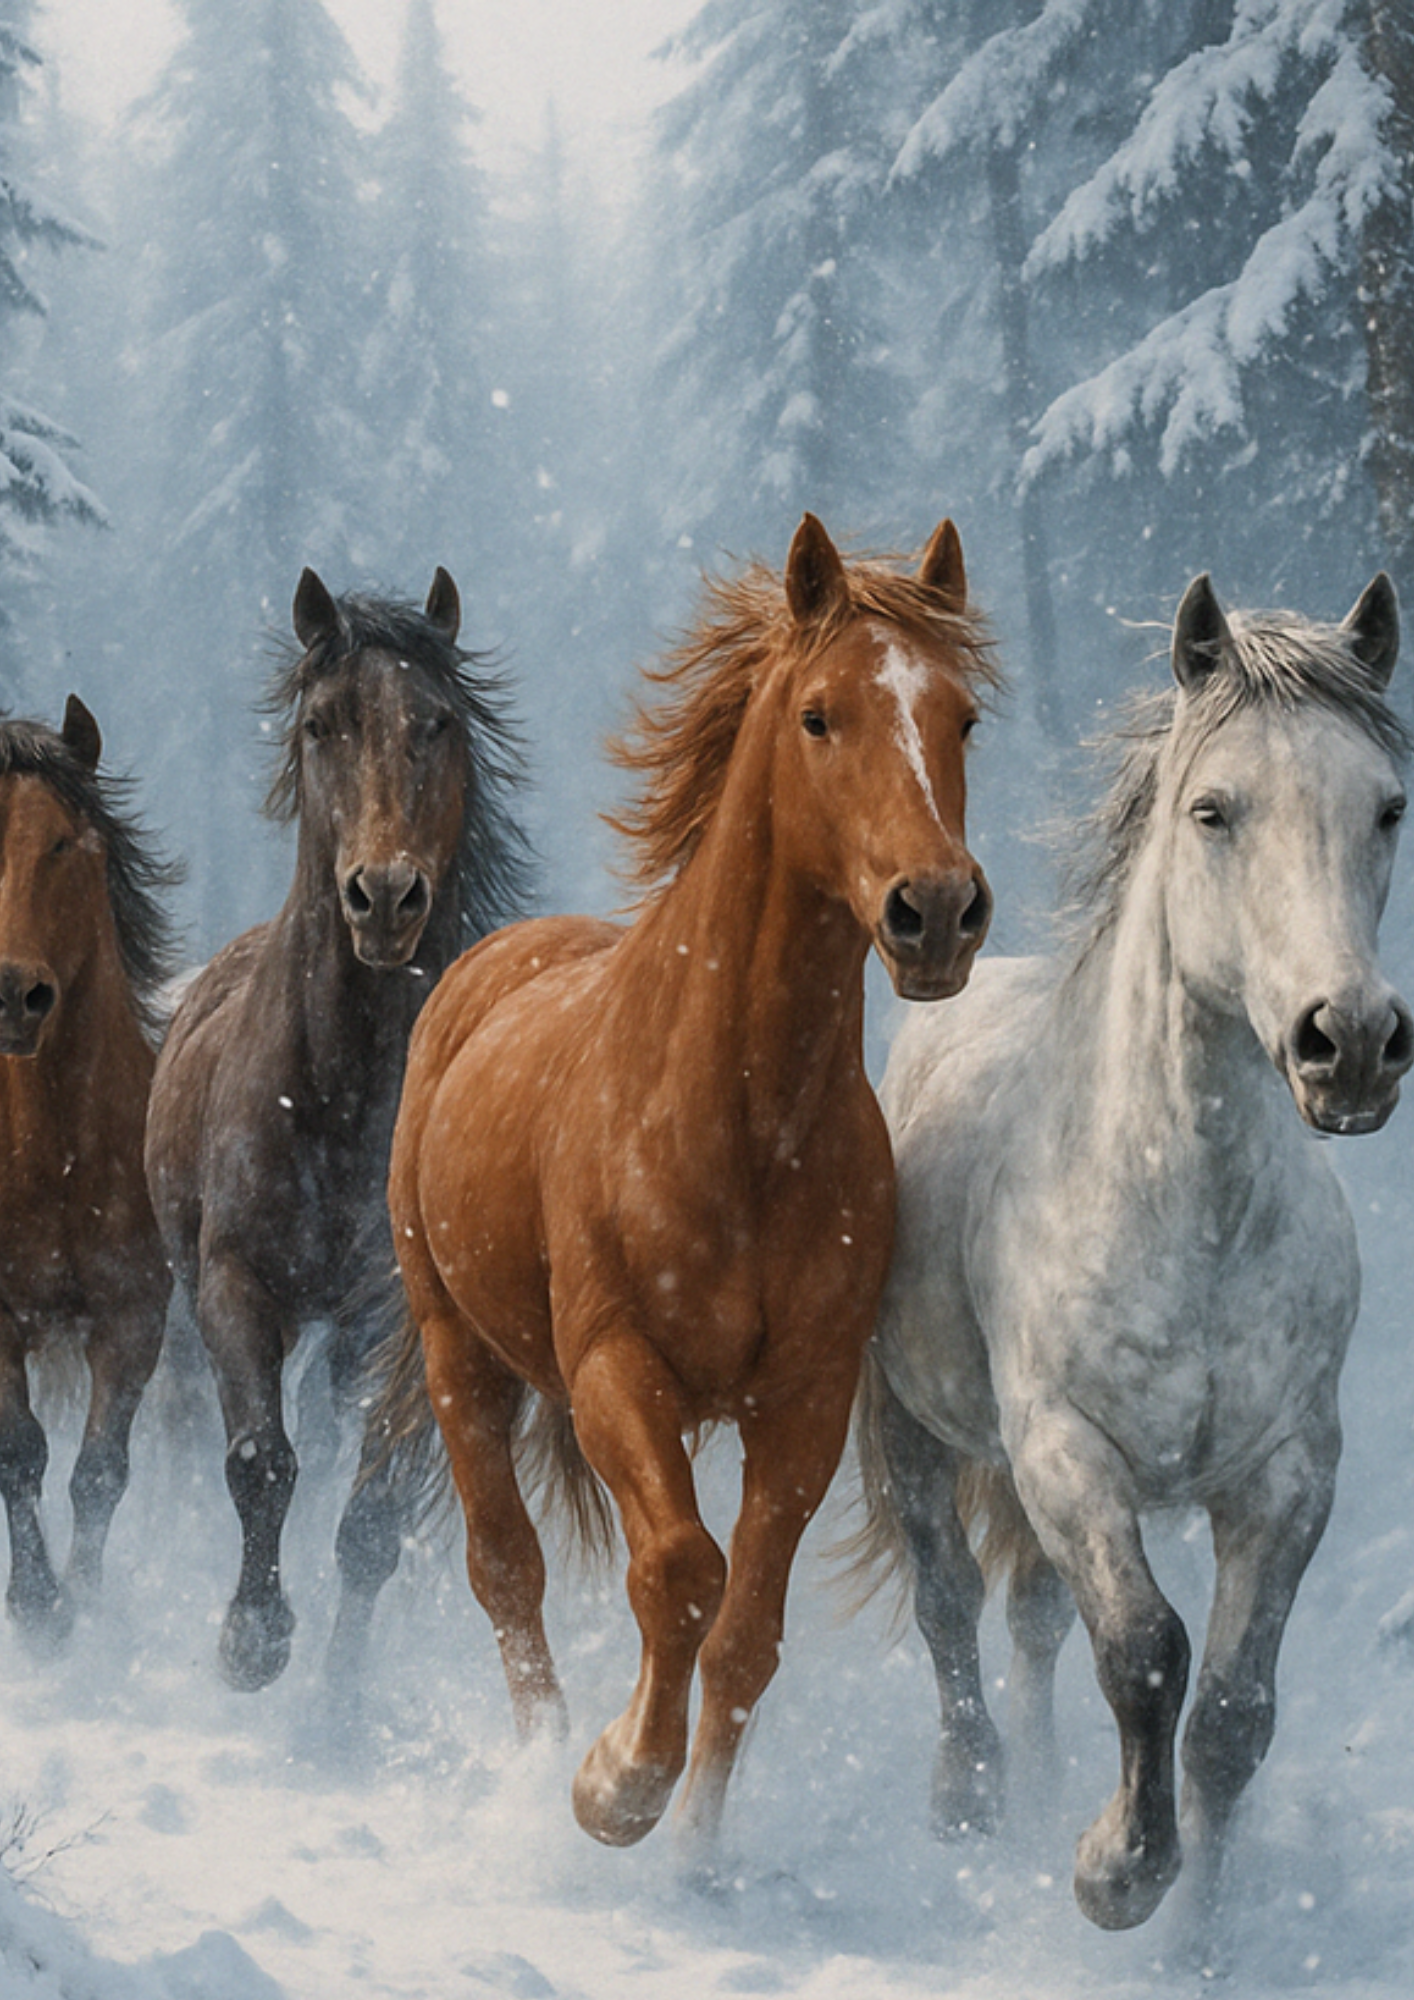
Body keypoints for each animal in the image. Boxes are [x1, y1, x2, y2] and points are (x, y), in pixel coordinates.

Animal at [143, 568, 529, 1691]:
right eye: (322, 723)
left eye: (438, 722)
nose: (386, 895)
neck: (335, 1096)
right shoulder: (232, 1283)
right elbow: (259, 1460)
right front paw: (251, 1636)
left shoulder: (393, 1313)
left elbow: (371, 1520)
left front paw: (338, 1703)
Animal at [348, 512, 995, 1849]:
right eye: (818, 715)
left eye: (961, 718)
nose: (936, 909)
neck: (738, 1123)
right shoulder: (614, 1366)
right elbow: (680, 1573)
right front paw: (611, 1786)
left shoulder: (803, 1401)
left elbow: (746, 1629)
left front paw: (694, 1841)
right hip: (457, 1348)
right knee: (506, 1563)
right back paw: (542, 1751)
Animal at [857, 571, 1411, 1934]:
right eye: (1213, 810)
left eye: (1386, 806)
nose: (1348, 1041)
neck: (1189, 1221)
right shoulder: (1068, 1451)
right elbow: (1147, 1650)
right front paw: (1116, 1871)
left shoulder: (1289, 1472)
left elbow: (1231, 1710)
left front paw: (1199, 1928)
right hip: (909, 1424)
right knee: (951, 1598)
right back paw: (973, 1798)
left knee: (1033, 1618)